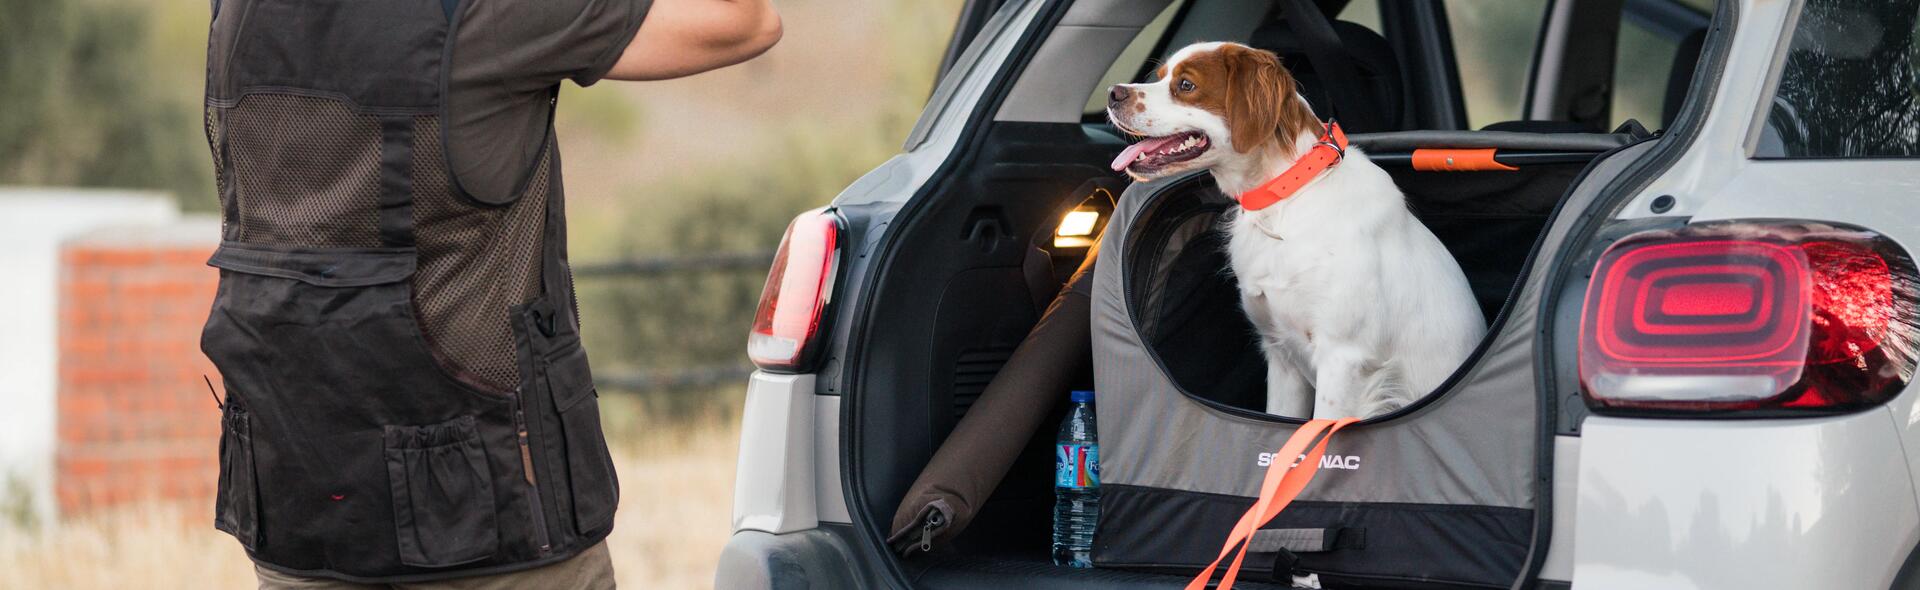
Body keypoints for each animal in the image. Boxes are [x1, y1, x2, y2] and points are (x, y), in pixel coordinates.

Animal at [1098, 41, 1482, 420]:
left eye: (1186, 85)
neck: (1286, 197)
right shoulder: (1280, 352)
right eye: (1160, 75)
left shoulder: (1342, 359)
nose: (1113, 93)